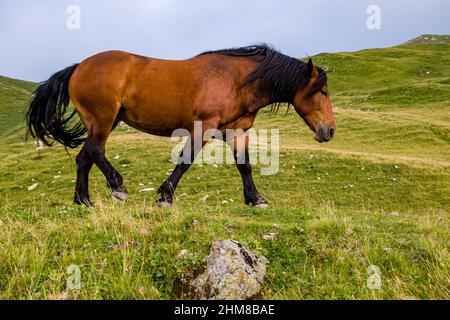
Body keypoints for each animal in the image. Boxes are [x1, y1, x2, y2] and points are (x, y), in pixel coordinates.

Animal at [26, 45, 336, 209]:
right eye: (322, 92)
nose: (330, 130)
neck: (237, 80)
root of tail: (79, 67)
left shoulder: (235, 131)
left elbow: (244, 165)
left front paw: (255, 198)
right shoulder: (204, 127)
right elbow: (186, 161)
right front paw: (165, 195)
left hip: (105, 122)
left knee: (84, 157)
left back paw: (84, 200)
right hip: (103, 120)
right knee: (95, 151)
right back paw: (117, 186)